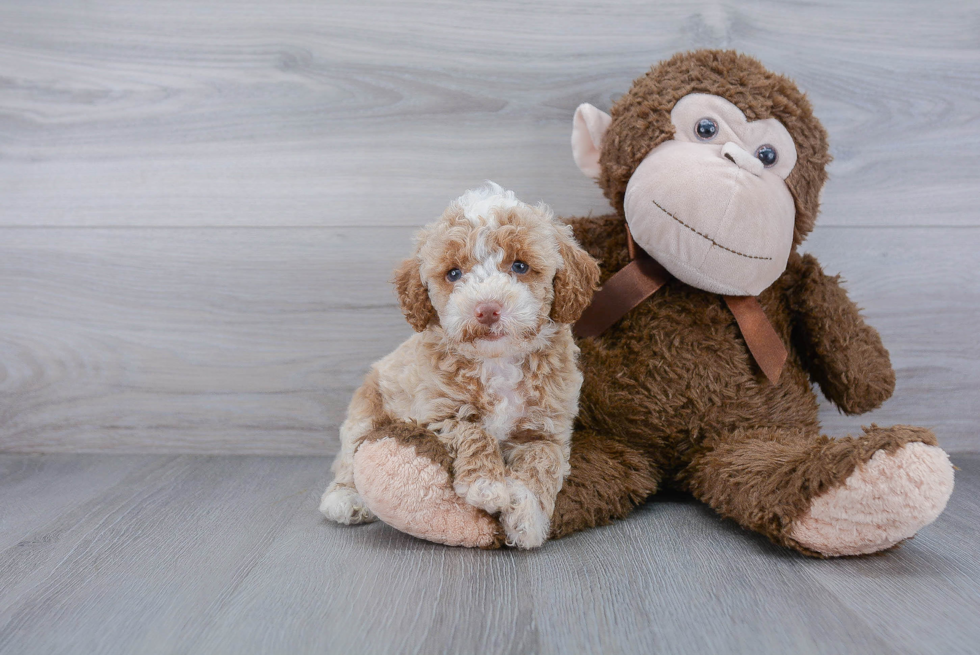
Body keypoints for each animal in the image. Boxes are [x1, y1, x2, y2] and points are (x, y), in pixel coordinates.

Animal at [320, 183, 596, 548]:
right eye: (454, 273)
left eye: (520, 266)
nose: (487, 308)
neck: (497, 361)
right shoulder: (437, 413)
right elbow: (474, 432)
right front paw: (487, 486)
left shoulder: (546, 428)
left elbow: (543, 462)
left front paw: (527, 516)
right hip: (367, 410)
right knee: (349, 455)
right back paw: (344, 499)